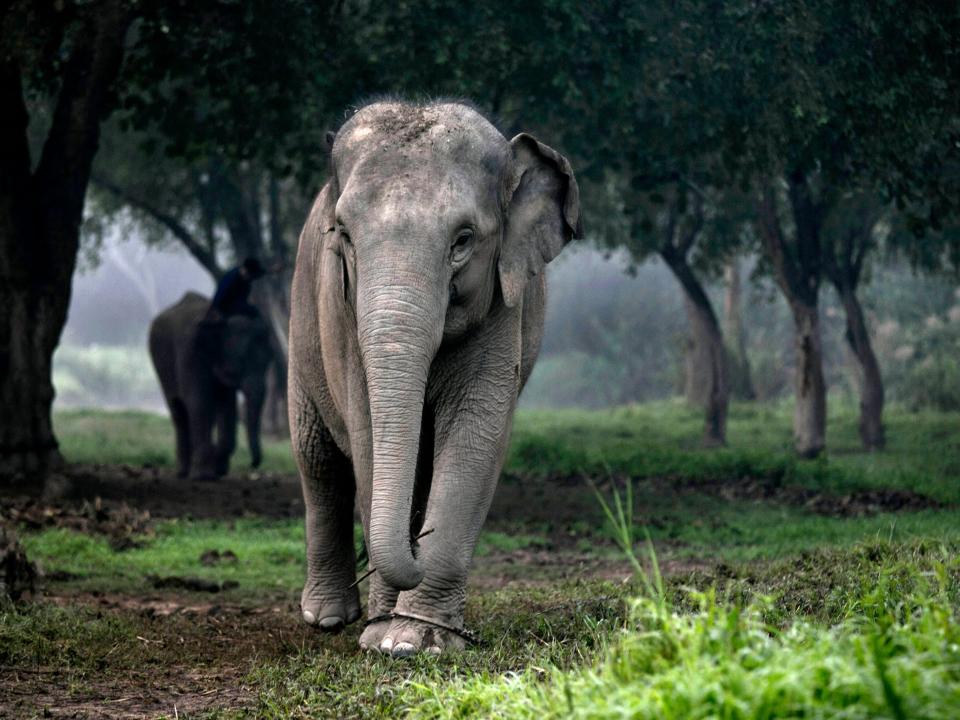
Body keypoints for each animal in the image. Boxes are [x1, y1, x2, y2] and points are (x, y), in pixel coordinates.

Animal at [148, 290, 274, 480]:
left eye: (269, 361)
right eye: (240, 362)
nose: (253, 465)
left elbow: (227, 407)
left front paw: (218, 469)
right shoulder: (190, 352)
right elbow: (198, 402)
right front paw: (203, 476)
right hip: (160, 363)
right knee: (179, 410)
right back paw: (183, 472)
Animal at [288, 101, 580, 660]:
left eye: (463, 240)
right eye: (344, 236)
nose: (413, 550)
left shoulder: (503, 304)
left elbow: (475, 433)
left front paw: (413, 639)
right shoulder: (341, 312)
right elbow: (366, 438)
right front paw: (379, 635)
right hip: (299, 327)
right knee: (318, 460)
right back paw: (327, 618)